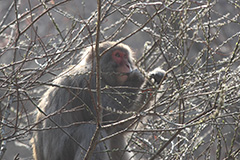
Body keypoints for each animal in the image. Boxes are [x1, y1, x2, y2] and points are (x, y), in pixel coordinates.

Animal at [31, 41, 166, 160]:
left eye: (125, 56)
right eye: (117, 55)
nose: (128, 66)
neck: (98, 71)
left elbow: (119, 126)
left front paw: (153, 81)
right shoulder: (89, 83)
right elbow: (107, 117)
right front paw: (136, 78)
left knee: (116, 137)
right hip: (62, 152)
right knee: (90, 130)